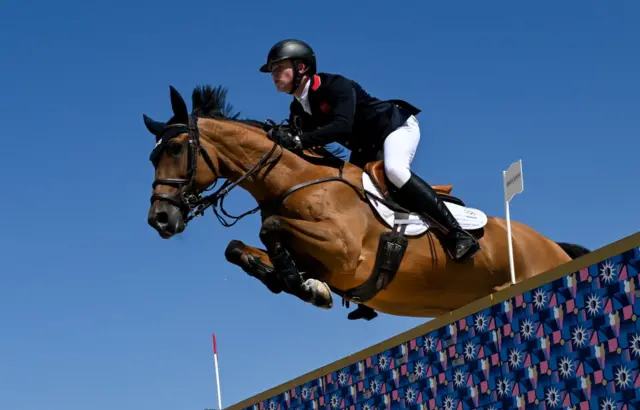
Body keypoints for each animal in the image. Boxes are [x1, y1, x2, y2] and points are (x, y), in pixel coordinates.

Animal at [142, 84, 588, 320]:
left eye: (177, 149)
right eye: (152, 156)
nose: (160, 219)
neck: (296, 183)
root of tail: (552, 245)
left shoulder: (346, 252)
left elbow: (270, 227)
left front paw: (306, 286)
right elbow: (236, 248)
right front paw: (299, 283)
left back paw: (464, 241)